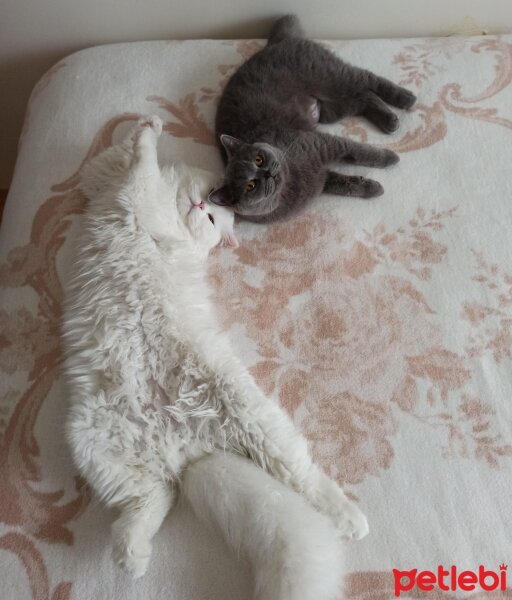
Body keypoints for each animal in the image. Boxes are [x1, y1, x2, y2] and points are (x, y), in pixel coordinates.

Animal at [63, 117, 368, 600]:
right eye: (208, 196)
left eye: (209, 214)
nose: (200, 202)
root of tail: (187, 450)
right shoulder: (106, 184)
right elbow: (115, 161)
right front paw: (139, 130)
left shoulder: (137, 197)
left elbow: (141, 164)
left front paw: (148, 131)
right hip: (97, 447)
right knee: (153, 500)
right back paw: (132, 557)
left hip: (254, 422)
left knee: (303, 476)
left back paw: (352, 518)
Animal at [209, 15, 416, 223]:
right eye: (250, 186)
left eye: (259, 159)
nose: (267, 173)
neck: (292, 177)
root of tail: (275, 43)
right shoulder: (322, 177)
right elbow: (345, 184)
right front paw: (372, 188)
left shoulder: (323, 143)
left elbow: (361, 152)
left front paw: (391, 158)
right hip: (332, 108)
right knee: (364, 97)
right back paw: (390, 120)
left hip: (331, 76)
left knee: (368, 79)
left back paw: (406, 100)